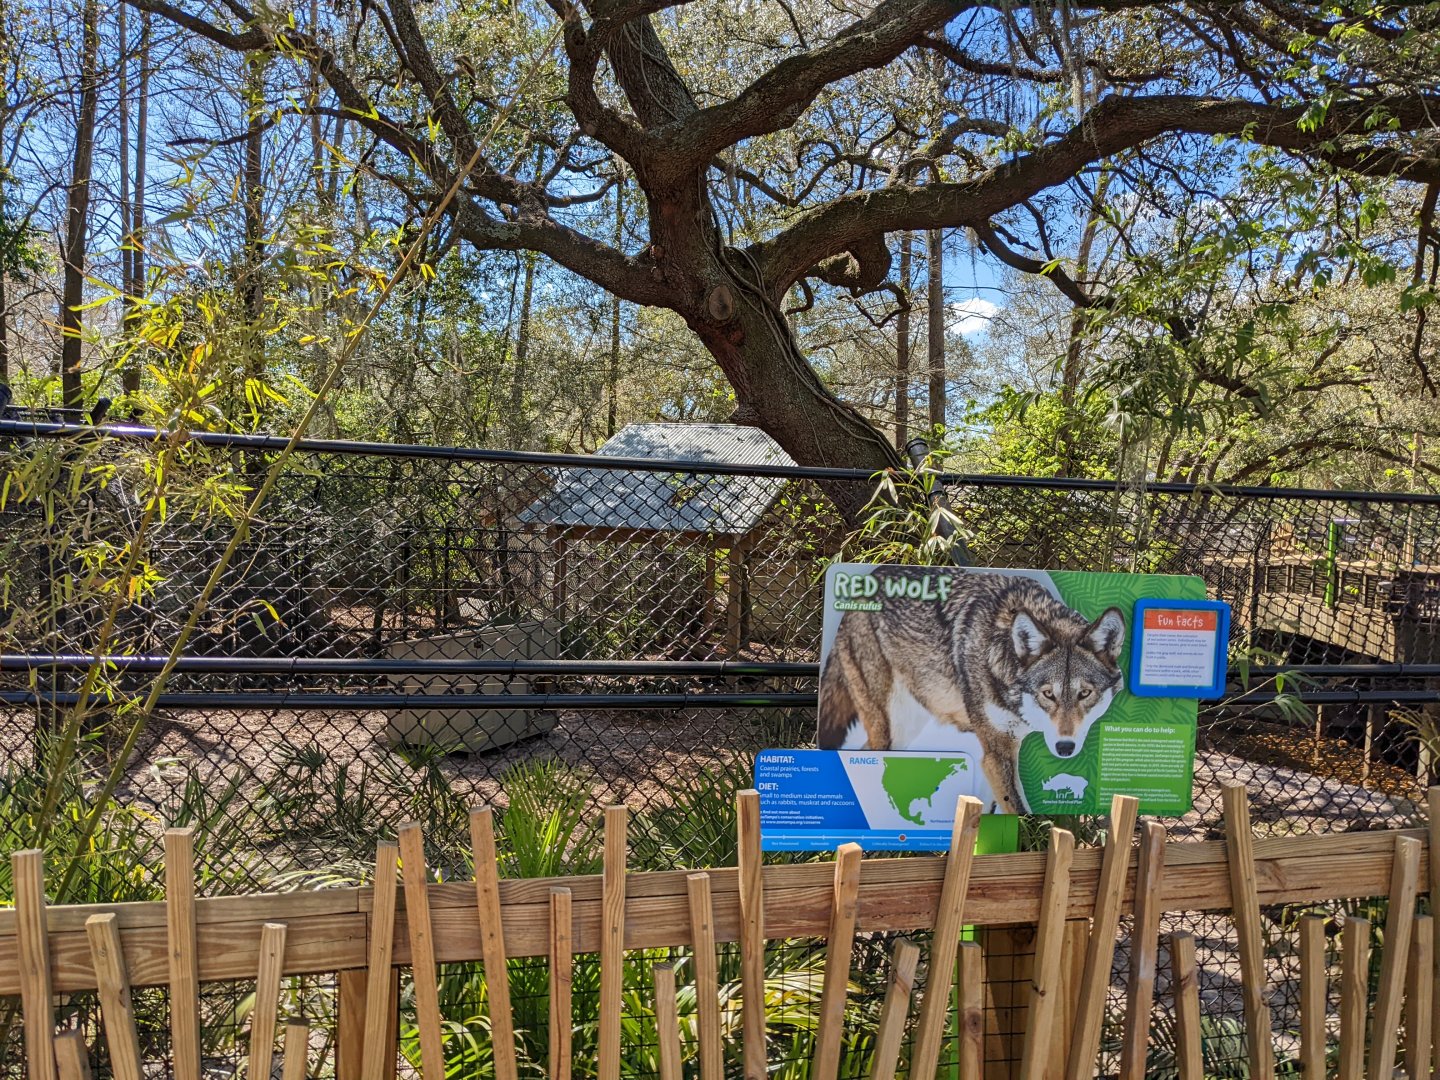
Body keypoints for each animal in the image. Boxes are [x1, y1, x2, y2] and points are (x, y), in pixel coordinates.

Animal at [818, 567, 1125, 813]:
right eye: (1048, 694)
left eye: (1084, 694)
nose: (1064, 748)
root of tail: (861, 585)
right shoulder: (997, 751)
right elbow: (1021, 814)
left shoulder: (998, 754)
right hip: (888, 728)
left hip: (902, 732)